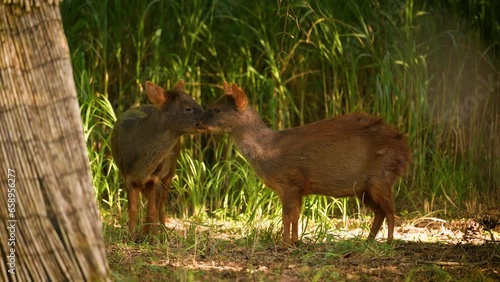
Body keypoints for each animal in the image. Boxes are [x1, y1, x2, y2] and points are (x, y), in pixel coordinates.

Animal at [112, 80, 205, 240]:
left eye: (195, 101)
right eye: (188, 108)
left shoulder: (154, 177)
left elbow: (153, 209)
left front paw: (154, 238)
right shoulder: (128, 176)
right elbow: (133, 209)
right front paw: (131, 237)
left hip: (170, 171)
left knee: (160, 202)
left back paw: (163, 230)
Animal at [196, 82, 410, 246]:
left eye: (217, 109)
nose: (197, 122)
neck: (268, 152)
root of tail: (404, 150)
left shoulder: (290, 182)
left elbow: (287, 216)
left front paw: (284, 244)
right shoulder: (296, 189)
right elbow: (296, 216)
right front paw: (295, 242)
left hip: (381, 177)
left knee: (391, 210)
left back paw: (389, 242)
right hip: (364, 188)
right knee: (380, 211)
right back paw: (368, 240)